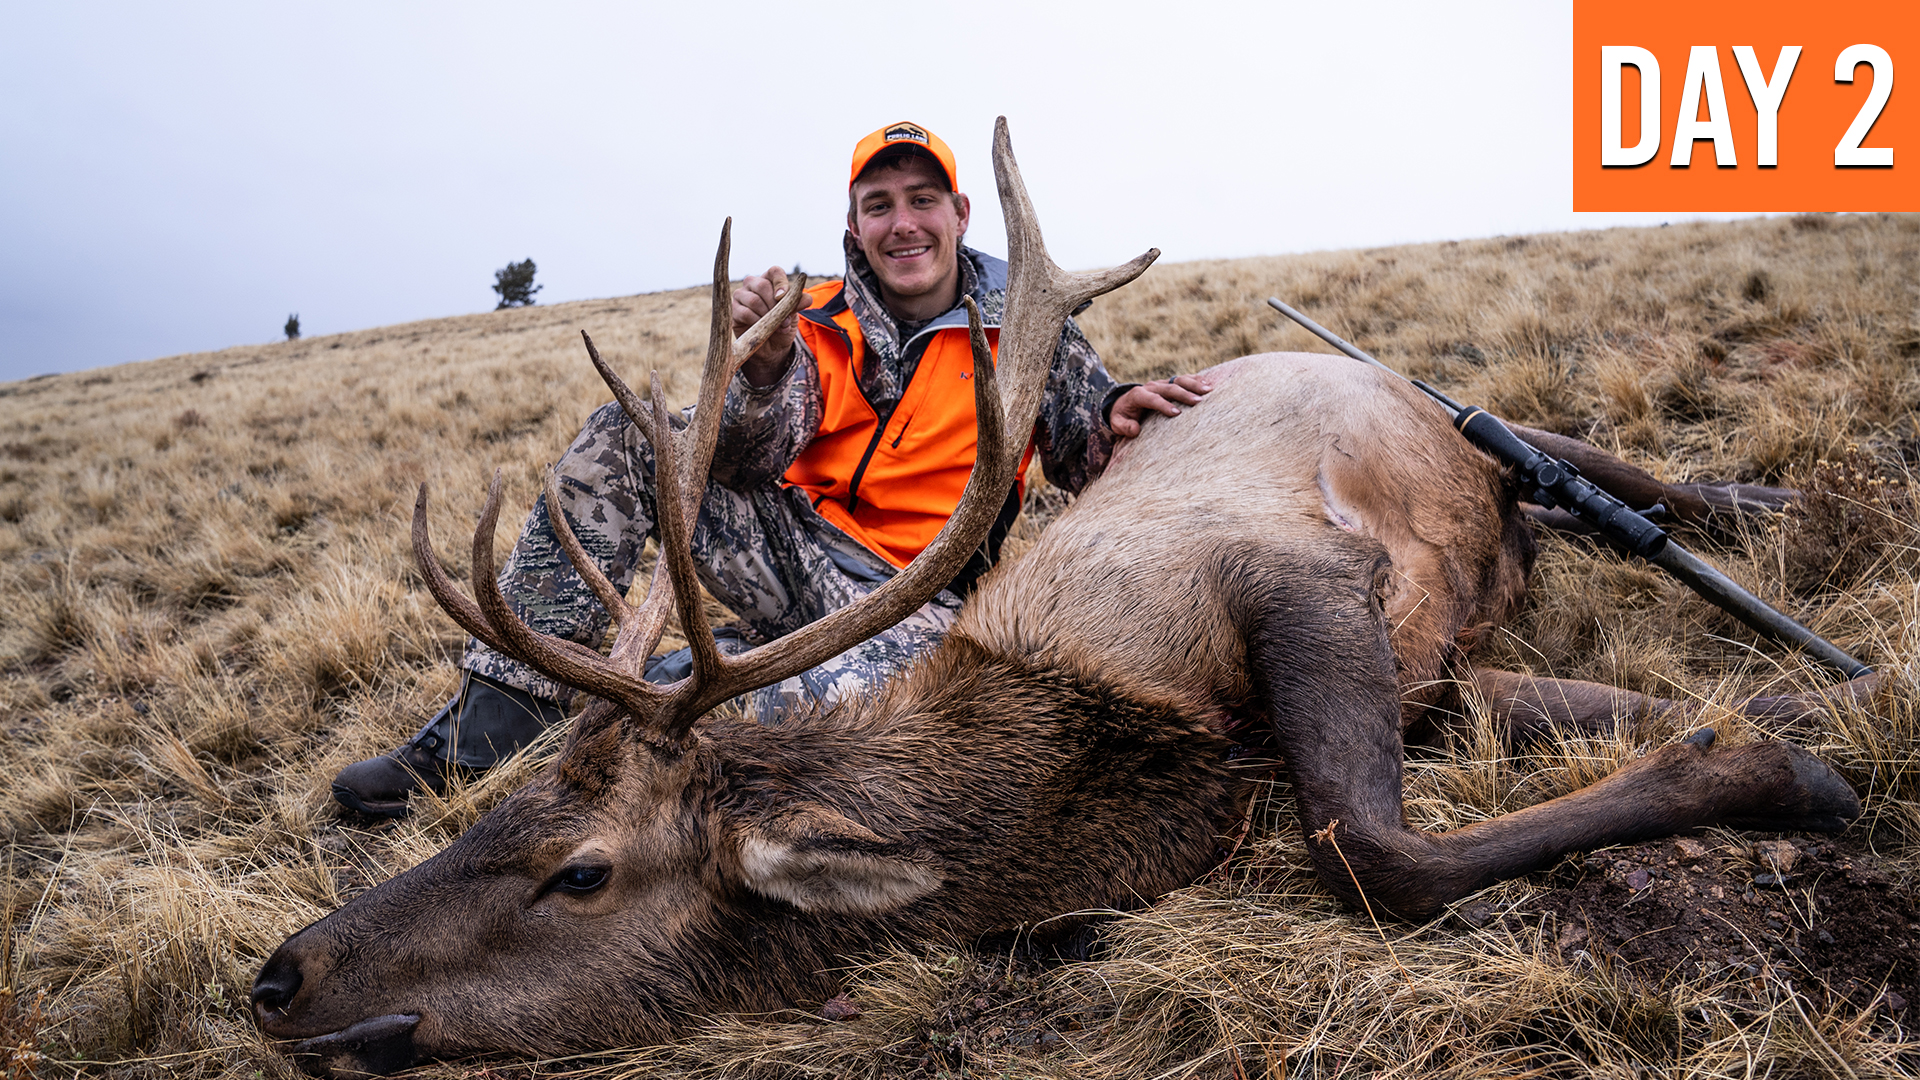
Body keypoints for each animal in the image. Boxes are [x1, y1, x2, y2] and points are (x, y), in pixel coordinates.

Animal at [250, 119, 1870, 1077]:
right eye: (492, 814)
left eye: (577, 871)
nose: (277, 977)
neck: (1104, 759)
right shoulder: (1448, 675)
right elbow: (1545, 728)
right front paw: (1746, 711)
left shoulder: (1293, 572)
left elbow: (1371, 851)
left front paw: (1791, 766)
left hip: (1445, 412)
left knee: (1606, 467)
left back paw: (1784, 505)